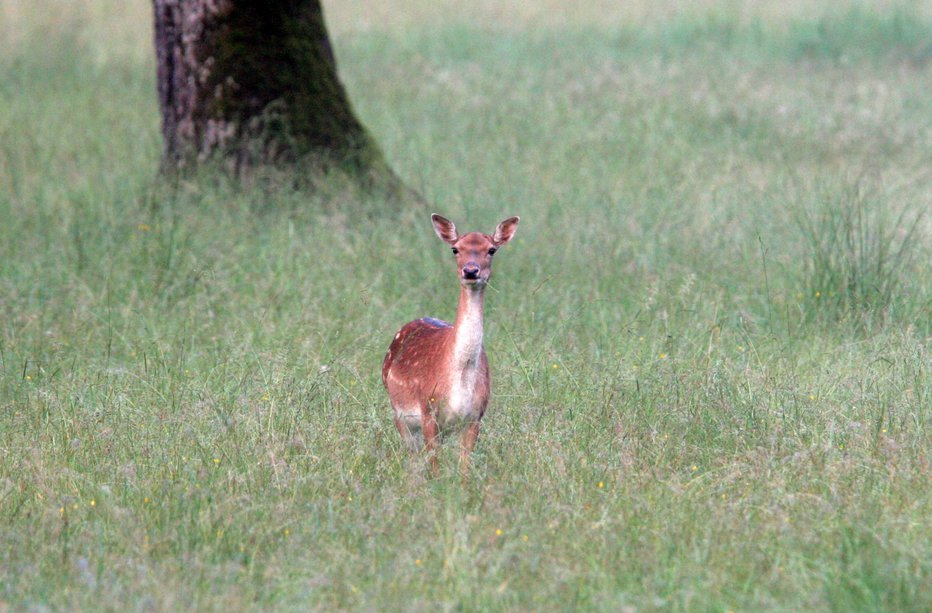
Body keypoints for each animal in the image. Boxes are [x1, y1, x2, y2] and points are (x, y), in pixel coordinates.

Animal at [382, 213, 520, 476]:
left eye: (492, 249)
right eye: (455, 249)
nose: (471, 270)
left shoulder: (475, 416)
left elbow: (465, 467)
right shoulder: (428, 411)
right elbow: (434, 466)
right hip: (399, 414)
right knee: (412, 458)